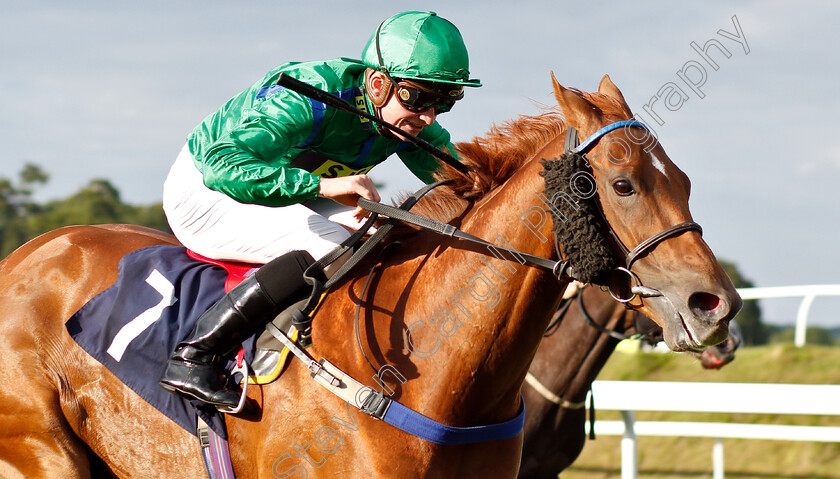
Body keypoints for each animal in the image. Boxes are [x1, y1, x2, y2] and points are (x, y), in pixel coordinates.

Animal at [0, 75, 740, 479]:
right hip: (39, 447)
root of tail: (26, 252)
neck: (446, 377)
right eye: (621, 184)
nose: (718, 307)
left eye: (684, 179)